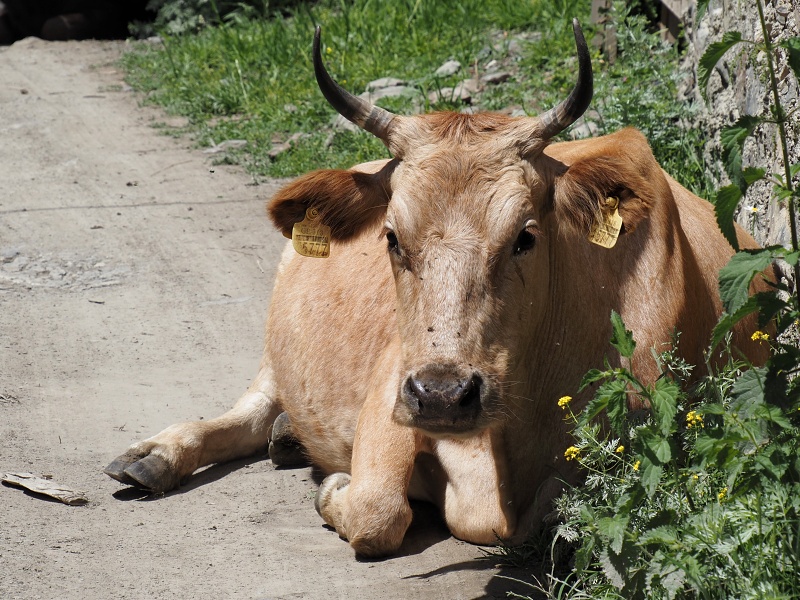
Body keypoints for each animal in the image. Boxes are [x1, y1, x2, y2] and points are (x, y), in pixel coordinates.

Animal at [103, 22, 764, 556]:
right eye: (393, 237)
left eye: (525, 236)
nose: (444, 396)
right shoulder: (390, 388)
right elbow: (377, 510)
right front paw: (336, 491)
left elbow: (537, 518)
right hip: (277, 356)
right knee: (247, 411)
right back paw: (157, 455)